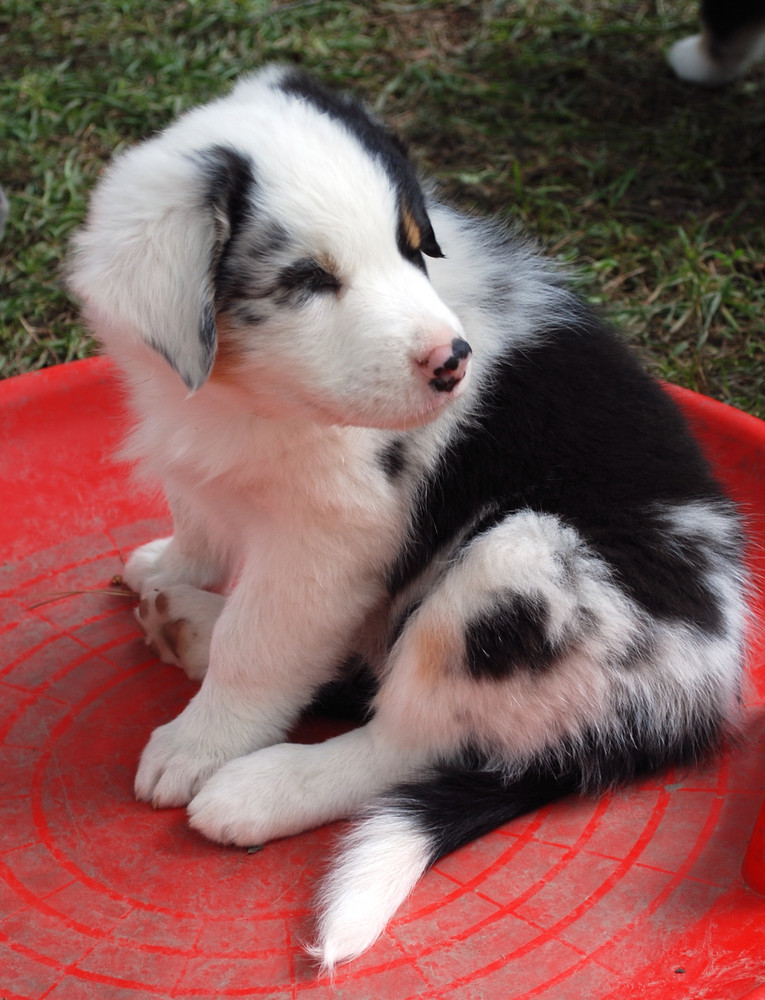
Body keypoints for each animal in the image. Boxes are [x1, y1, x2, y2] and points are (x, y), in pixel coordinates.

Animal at [67, 68, 748, 968]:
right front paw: (174, 566)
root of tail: (695, 701)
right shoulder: (204, 449)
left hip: (518, 567)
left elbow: (261, 644)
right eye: (306, 281)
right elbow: (201, 513)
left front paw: (199, 743)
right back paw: (185, 620)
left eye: (410, 245)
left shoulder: (334, 533)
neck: (245, 396)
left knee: (406, 739)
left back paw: (261, 783)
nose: (453, 362)